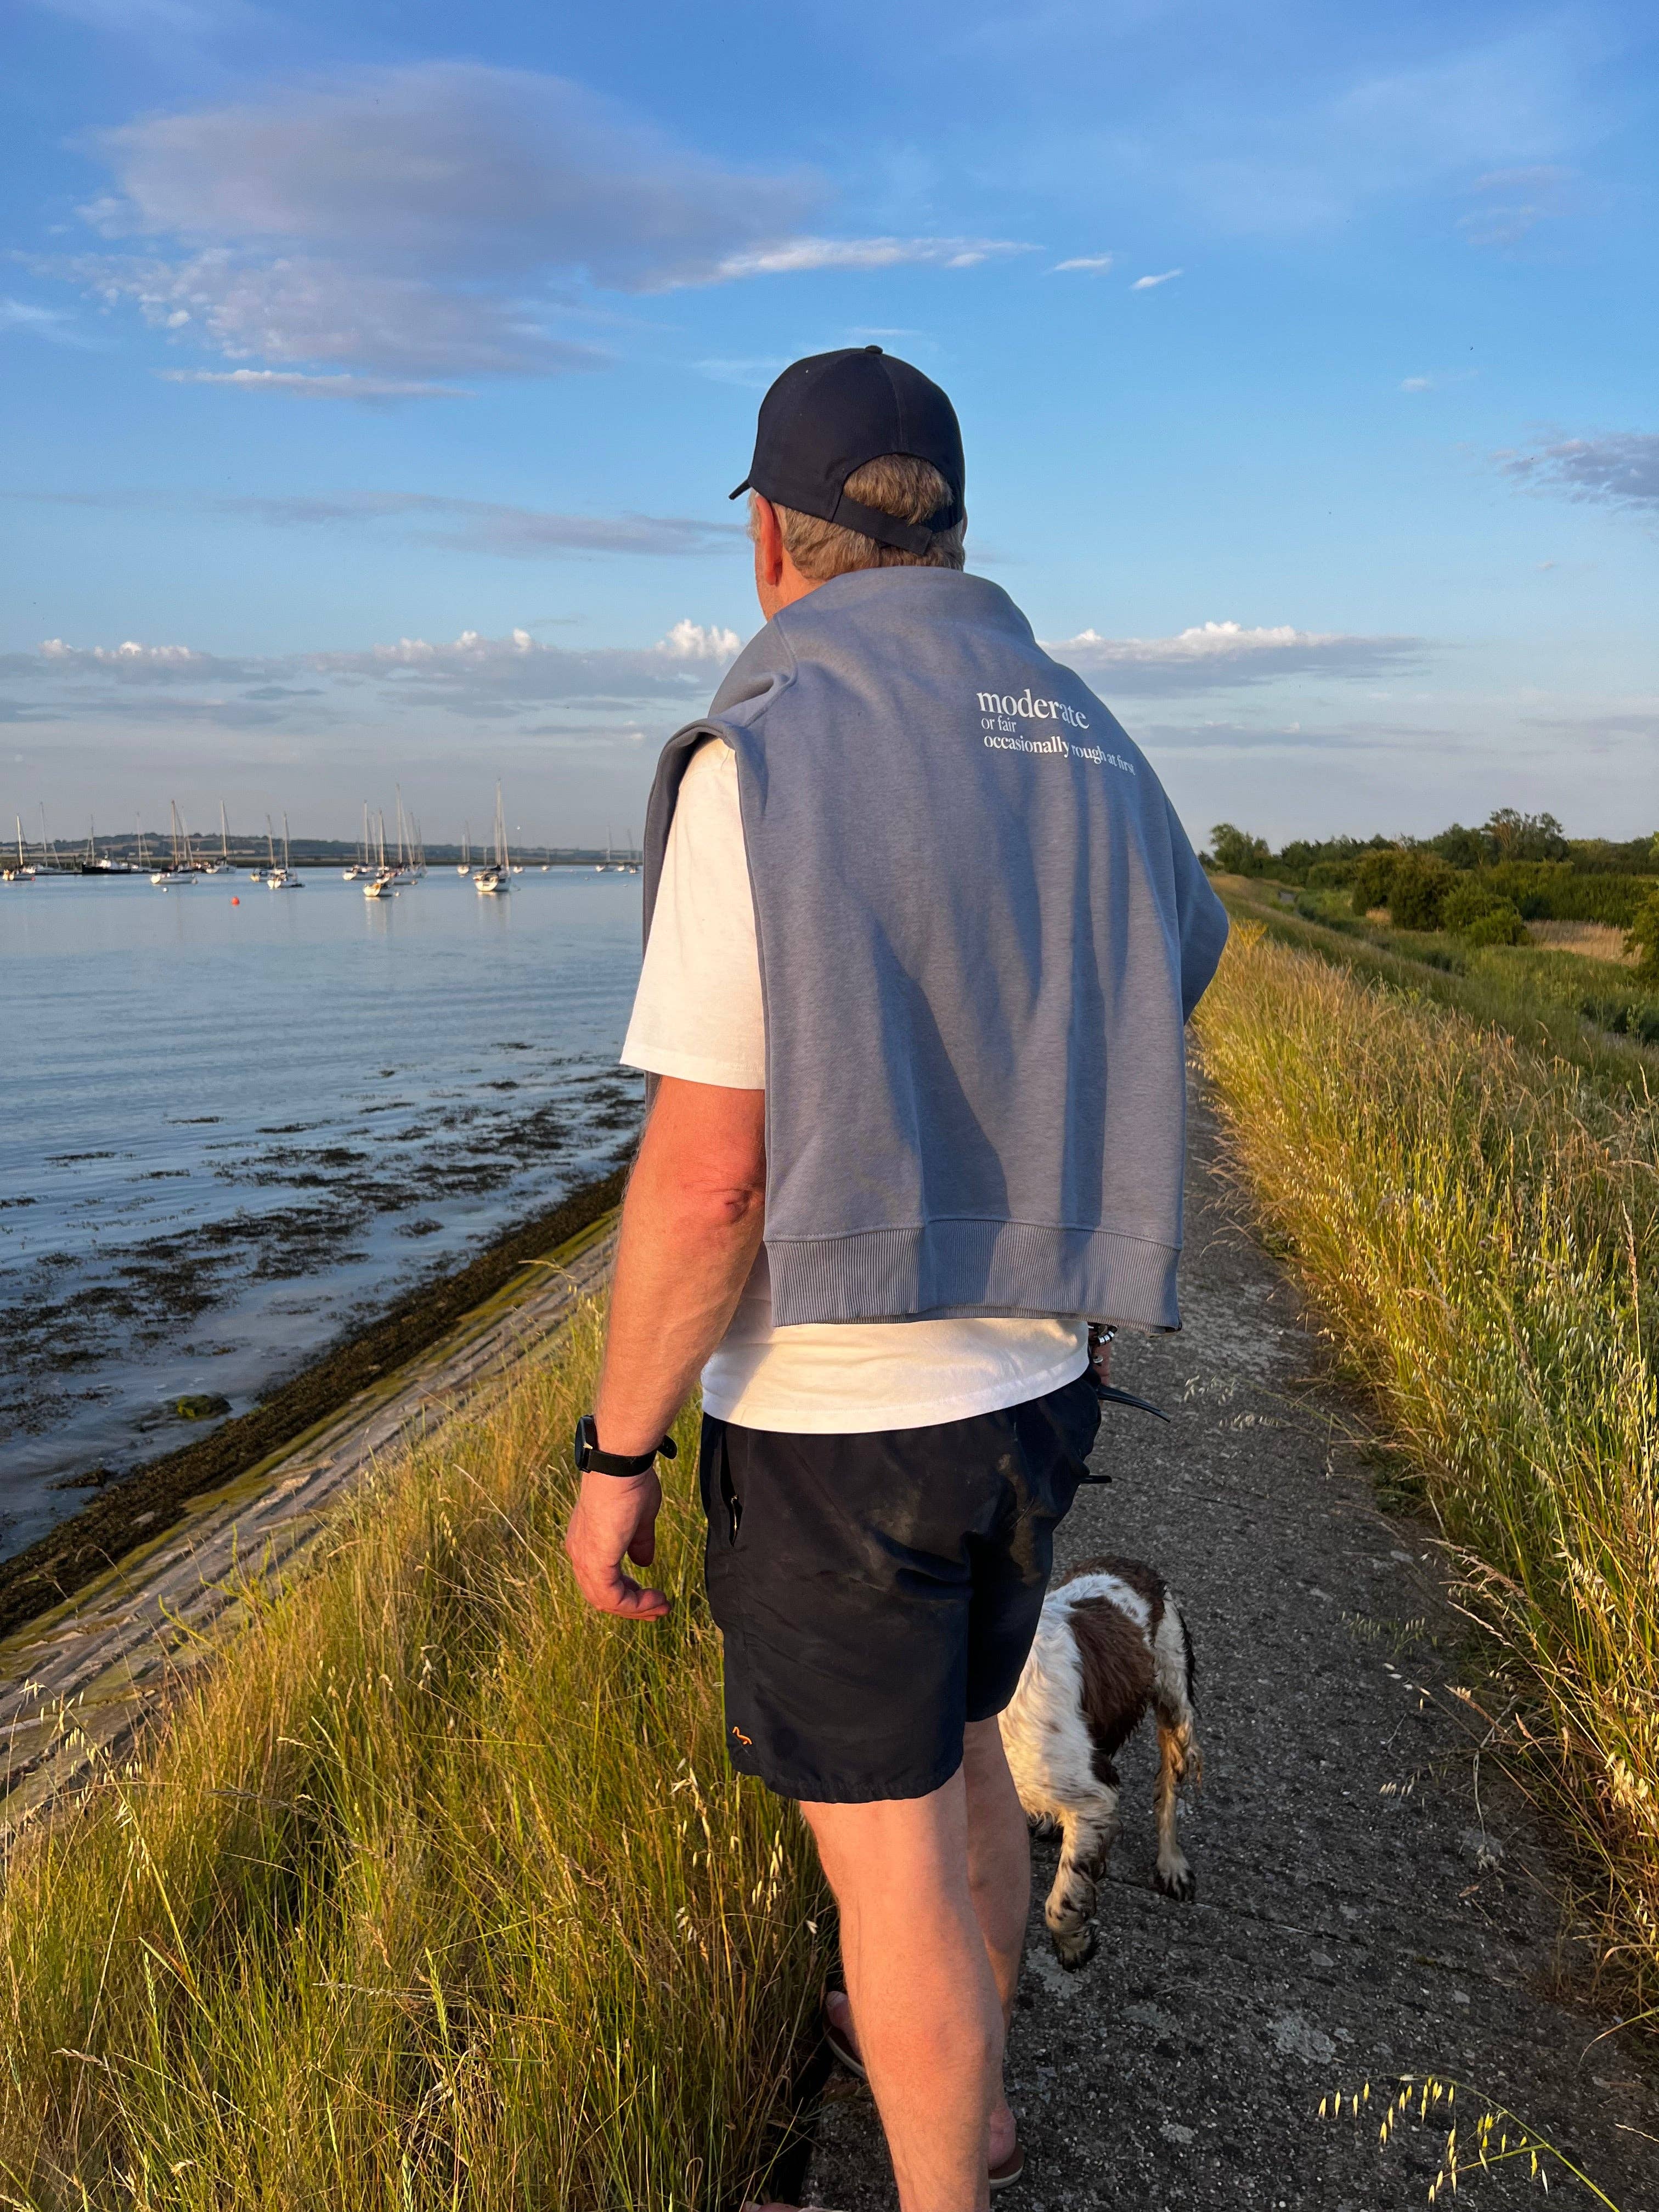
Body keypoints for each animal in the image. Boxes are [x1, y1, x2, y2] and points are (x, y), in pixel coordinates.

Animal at [999, 1555, 1200, 1966]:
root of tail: (1127, 1562)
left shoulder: (1095, 1797)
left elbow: (1060, 1903)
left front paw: (1075, 1945)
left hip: (1176, 1707)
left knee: (1168, 1791)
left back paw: (1172, 1865)